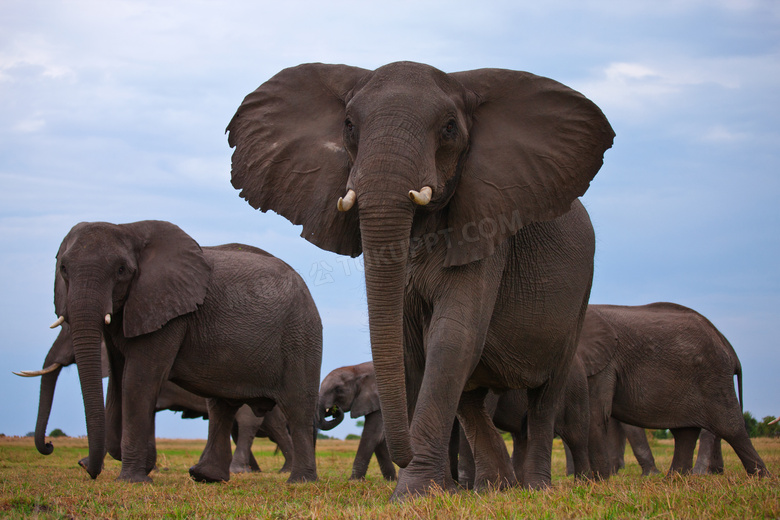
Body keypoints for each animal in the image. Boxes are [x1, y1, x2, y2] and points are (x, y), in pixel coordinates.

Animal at [49, 219, 322, 484]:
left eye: (121, 270)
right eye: (63, 269)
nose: (50, 446)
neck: (128, 229)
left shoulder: (168, 315)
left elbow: (138, 381)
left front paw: (132, 480)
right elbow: (118, 381)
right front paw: (136, 463)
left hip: (300, 335)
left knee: (296, 408)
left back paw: (299, 481)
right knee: (221, 406)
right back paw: (206, 476)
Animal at [225, 61, 616, 500]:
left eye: (449, 128)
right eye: (348, 125)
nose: (405, 454)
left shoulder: (487, 228)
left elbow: (452, 335)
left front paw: (414, 492)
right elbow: (411, 344)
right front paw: (434, 491)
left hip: (579, 299)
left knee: (544, 398)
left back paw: (533, 488)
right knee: (471, 395)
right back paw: (494, 488)